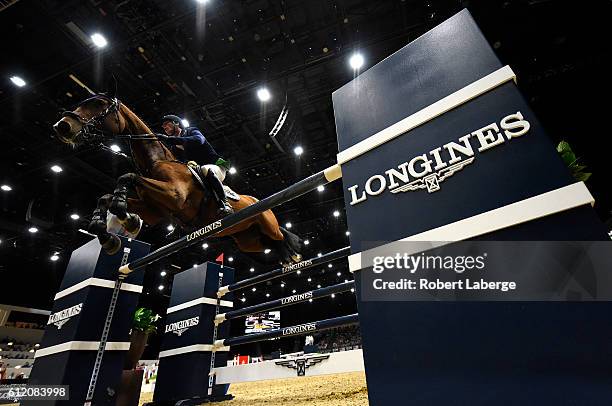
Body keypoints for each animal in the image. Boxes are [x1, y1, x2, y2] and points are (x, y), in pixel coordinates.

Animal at [53, 94, 304, 266]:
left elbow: (128, 176)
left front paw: (126, 217)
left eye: (98, 104)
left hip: (266, 226)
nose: (62, 125)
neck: (155, 161)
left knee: (281, 235)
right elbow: (106, 196)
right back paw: (286, 256)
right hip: (248, 240)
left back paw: (293, 254)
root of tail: (257, 202)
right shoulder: (155, 209)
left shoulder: (173, 195)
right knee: (273, 243)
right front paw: (109, 231)